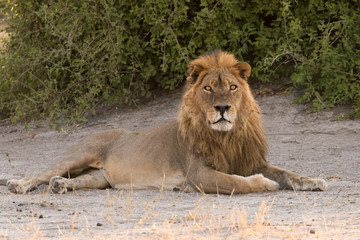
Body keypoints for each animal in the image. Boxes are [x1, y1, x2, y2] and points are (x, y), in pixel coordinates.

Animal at [5, 51, 328, 195]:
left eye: (233, 87)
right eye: (208, 88)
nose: (223, 108)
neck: (227, 136)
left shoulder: (251, 160)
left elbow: (288, 173)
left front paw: (313, 180)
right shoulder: (198, 173)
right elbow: (236, 182)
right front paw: (265, 184)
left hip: (101, 178)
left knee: (80, 180)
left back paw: (60, 186)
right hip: (79, 154)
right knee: (42, 172)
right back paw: (18, 184)